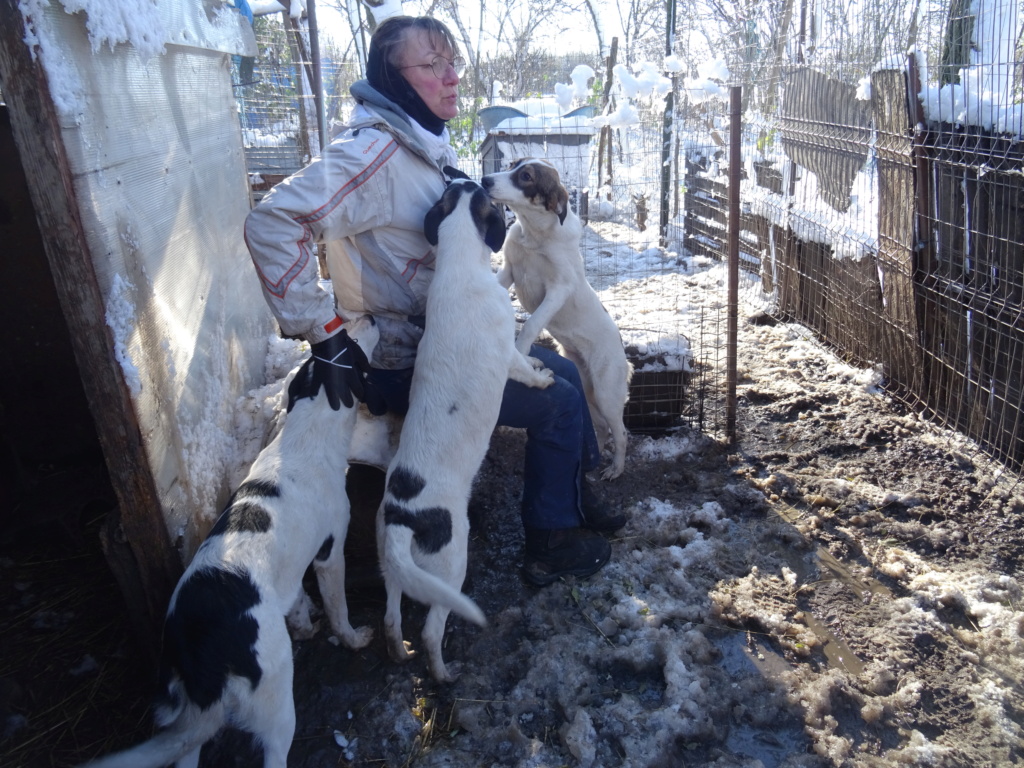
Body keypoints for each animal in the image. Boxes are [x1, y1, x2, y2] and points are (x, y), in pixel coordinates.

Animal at [77, 313, 378, 768]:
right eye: (355, 343)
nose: (370, 317)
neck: (303, 437)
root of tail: (200, 653)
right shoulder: (329, 554)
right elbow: (338, 610)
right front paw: (353, 638)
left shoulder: (289, 574)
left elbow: (298, 602)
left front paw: (305, 625)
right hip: (276, 705)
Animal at [374, 182, 552, 684]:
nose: (479, 180)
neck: (456, 270)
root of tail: (403, 516)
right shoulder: (506, 352)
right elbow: (524, 366)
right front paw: (543, 376)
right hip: (452, 565)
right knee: (432, 630)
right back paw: (444, 675)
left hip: (391, 565)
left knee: (391, 617)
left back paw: (399, 654)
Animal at [479, 157, 630, 481]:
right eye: (511, 164)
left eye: (526, 176)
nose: (484, 180)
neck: (533, 233)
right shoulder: (509, 271)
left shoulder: (559, 289)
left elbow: (532, 323)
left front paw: (521, 354)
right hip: (586, 388)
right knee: (601, 426)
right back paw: (593, 463)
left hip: (606, 391)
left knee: (621, 431)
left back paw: (616, 469)